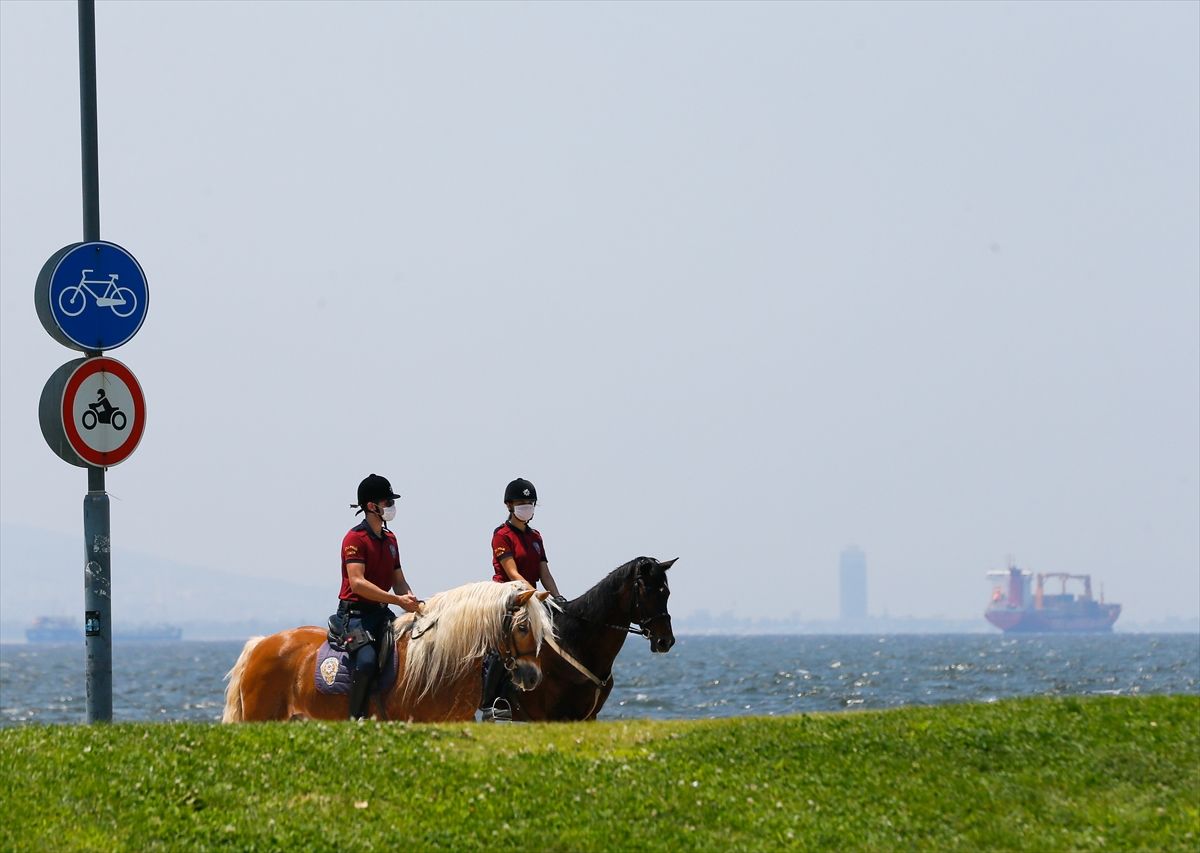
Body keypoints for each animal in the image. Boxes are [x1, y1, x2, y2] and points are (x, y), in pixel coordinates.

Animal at [487, 556, 676, 724]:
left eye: (667, 593)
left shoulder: (589, 717)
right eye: (647, 591)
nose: (665, 641)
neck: (573, 645)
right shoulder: (556, 716)